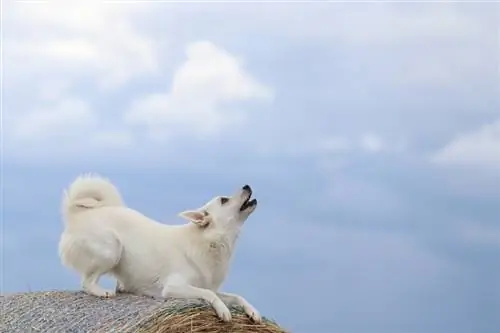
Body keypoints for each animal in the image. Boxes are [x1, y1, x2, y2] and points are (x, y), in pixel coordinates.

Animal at [58, 174, 262, 322]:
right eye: (224, 200)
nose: (247, 186)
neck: (209, 241)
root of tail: (78, 214)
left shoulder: (207, 286)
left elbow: (235, 296)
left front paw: (253, 311)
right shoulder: (173, 287)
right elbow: (208, 294)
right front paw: (223, 310)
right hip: (111, 249)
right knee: (86, 282)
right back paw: (102, 291)